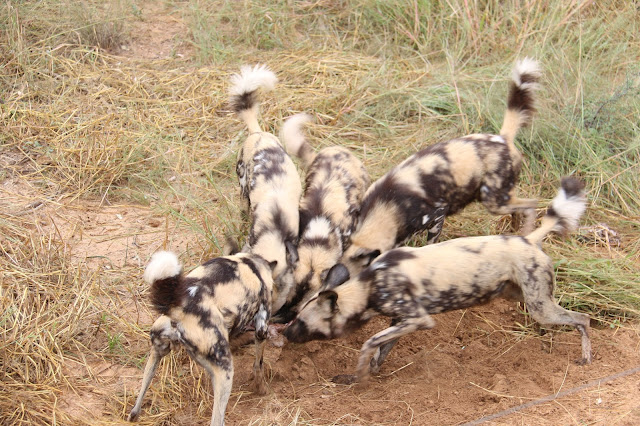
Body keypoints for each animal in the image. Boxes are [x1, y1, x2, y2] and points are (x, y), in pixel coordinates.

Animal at [127, 251, 272, 424]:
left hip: (159, 347)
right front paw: (261, 387)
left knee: (144, 383)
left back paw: (134, 414)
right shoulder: (262, 325)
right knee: (217, 419)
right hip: (225, 370)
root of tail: (178, 311)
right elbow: (258, 364)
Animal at [284, 178, 592, 384]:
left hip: (540, 308)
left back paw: (586, 359)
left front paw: (359, 377)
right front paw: (364, 375)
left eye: (302, 322)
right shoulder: (403, 321)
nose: (286, 333)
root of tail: (528, 239)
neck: (369, 285)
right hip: (520, 296)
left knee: (583, 319)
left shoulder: (417, 319)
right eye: (295, 317)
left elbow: (369, 343)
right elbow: (380, 351)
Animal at [342, 58, 544, 274]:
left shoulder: (437, 216)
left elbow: (430, 245)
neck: (387, 206)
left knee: (532, 204)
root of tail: (503, 138)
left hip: (494, 202)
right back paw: (515, 232)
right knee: (518, 210)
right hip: (498, 200)